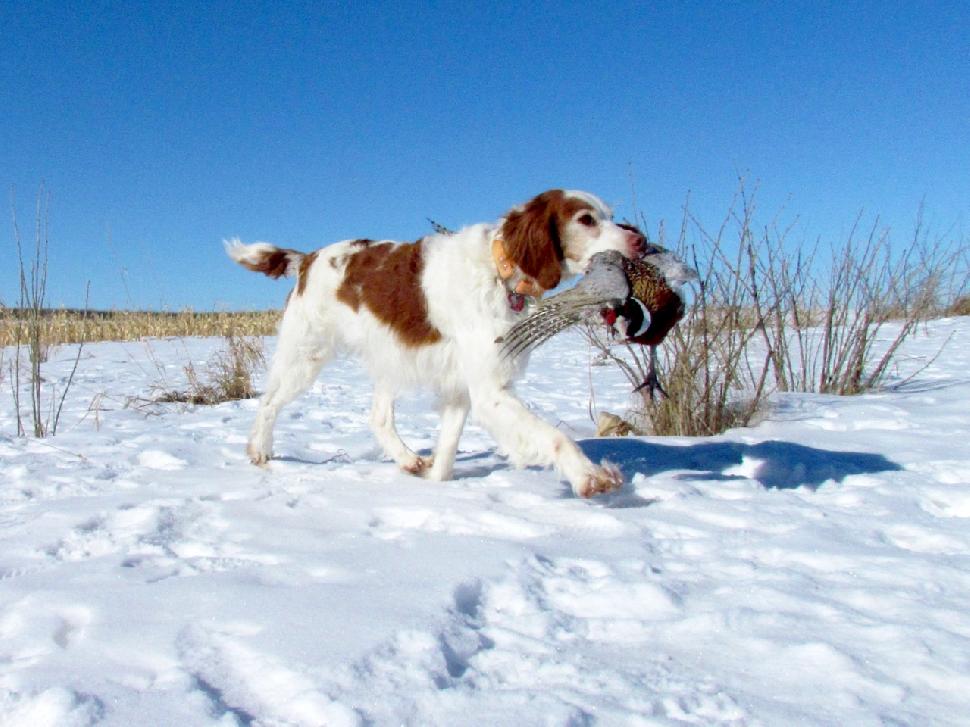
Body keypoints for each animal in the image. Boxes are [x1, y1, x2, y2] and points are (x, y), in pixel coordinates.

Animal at [222, 188, 640, 498]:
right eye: (586, 219)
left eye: (609, 214)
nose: (640, 238)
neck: (498, 270)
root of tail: (308, 258)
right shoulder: (489, 390)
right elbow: (556, 437)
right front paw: (590, 476)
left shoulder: (461, 387)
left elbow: (447, 450)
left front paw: (437, 487)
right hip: (305, 356)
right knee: (269, 403)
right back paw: (259, 451)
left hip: (388, 357)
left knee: (378, 418)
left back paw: (407, 459)